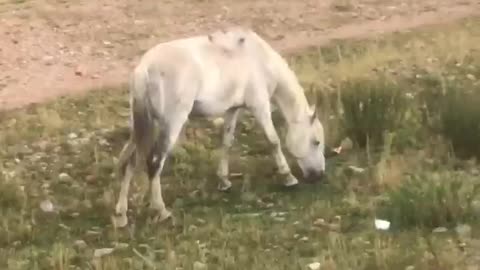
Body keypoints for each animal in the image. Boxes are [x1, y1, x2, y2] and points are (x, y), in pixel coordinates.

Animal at [113, 26, 338, 227]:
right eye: (316, 142)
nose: (319, 175)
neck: (258, 59)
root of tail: (144, 69)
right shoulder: (260, 106)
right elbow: (273, 141)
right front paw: (288, 177)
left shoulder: (233, 110)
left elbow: (227, 142)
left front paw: (223, 181)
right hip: (170, 124)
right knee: (154, 161)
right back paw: (161, 210)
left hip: (142, 126)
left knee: (130, 162)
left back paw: (121, 216)